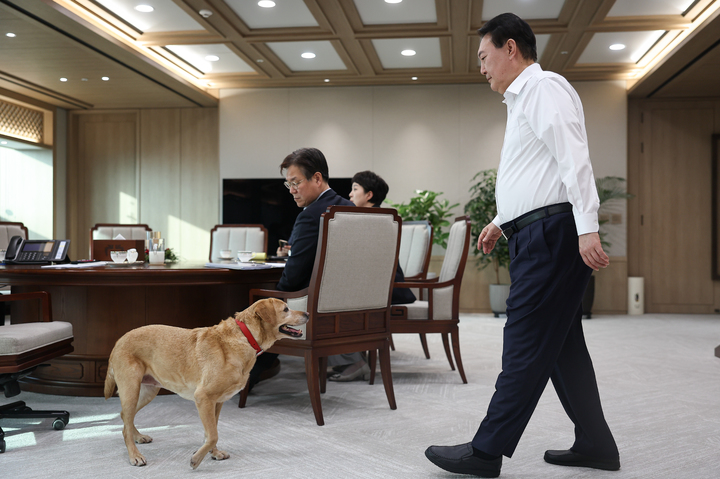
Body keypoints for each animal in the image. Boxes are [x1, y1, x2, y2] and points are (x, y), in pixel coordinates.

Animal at [104, 298, 306, 470]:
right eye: (286, 309)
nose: (308, 314)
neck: (245, 336)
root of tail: (119, 340)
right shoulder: (203, 398)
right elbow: (213, 434)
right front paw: (196, 459)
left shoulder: (216, 402)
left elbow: (211, 431)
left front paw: (212, 453)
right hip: (131, 390)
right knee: (125, 424)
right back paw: (134, 455)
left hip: (147, 392)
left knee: (125, 417)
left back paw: (138, 437)